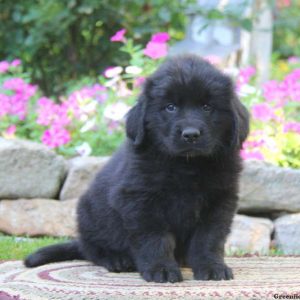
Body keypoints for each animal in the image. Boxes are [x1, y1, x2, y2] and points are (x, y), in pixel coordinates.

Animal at [24, 55, 248, 282]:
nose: (191, 134)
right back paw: (116, 259)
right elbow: (155, 238)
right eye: (170, 107)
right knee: (91, 248)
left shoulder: (219, 201)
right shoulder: (140, 201)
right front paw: (161, 269)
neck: (186, 165)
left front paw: (212, 266)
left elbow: (209, 238)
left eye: (206, 107)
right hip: (90, 214)